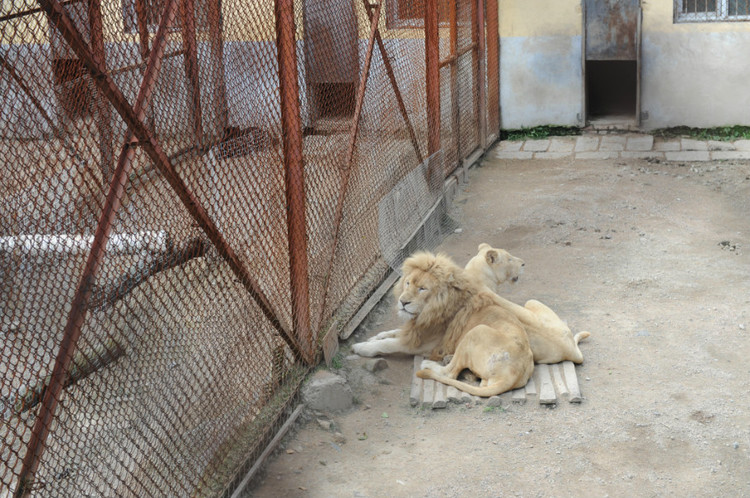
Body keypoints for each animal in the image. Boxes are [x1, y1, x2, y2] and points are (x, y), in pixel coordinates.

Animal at [352, 253, 536, 396]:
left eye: (422, 288)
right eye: (408, 283)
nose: (402, 302)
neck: (428, 311)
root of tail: (514, 374)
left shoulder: (421, 344)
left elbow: (388, 344)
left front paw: (361, 347)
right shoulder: (416, 330)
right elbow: (393, 332)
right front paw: (375, 337)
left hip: (477, 331)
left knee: (449, 374)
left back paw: (429, 364)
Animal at [464, 243, 592, 364]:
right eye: (509, 259)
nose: (523, 264)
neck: (475, 272)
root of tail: (571, 350)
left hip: (531, 301)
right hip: (532, 301)